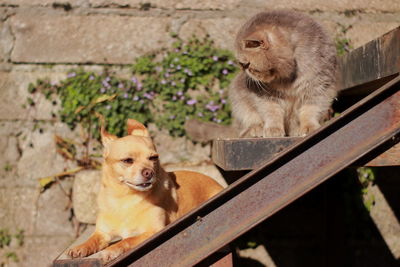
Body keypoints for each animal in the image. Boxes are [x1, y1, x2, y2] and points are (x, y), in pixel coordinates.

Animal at [66, 120, 222, 264]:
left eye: (153, 158)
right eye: (127, 160)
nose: (149, 172)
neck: (125, 198)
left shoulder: (154, 231)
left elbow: (127, 240)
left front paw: (111, 249)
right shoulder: (102, 233)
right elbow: (92, 239)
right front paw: (80, 247)